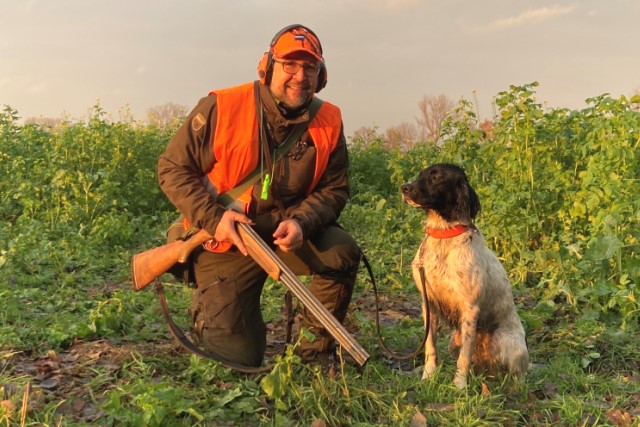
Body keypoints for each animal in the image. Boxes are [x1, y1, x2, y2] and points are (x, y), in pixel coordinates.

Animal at [400, 162, 528, 390]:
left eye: (436, 178)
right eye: (421, 174)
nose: (404, 188)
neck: (443, 236)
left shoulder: (470, 308)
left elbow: (464, 357)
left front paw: (459, 385)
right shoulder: (428, 305)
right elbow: (430, 347)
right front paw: (428, 376)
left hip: (506, 341)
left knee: (518, 376)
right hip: (454, 341)